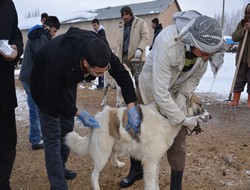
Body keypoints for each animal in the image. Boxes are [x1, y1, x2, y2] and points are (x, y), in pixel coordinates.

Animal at [65, 95, 211, 189]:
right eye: (200, 104)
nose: (210, 116)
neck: (166, 117)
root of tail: (95, 119)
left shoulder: (156, 160)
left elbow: (155, 181)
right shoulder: (150, 162)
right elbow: (151, 184)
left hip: (114, 146)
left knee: (113, 155)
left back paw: (118, 164)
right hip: (102, 155)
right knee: (94, 175)